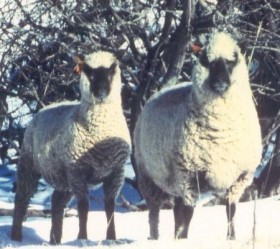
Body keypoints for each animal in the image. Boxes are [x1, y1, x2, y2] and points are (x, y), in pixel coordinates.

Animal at [11, 51, 132, 245]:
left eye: (112, 69)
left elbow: (110, 207)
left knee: (57, 201)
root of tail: (49, 106)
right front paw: (82, 238)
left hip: (63, 177)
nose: (101, 93)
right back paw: (16, 237)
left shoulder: (116, 173)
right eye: (88, 71)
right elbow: (83, 207)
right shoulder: (78, 172)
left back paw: (55, 239)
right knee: (22, 197)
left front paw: (111, 238)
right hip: (29, 164)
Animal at [133, 32, 262, 240]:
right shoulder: (189, 176)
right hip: (149, 177)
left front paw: (231, 238)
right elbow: (188, 214)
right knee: (155, 213)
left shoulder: (238, 178)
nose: (220, 83)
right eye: (208, 61)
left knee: (176, 211)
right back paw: (155, 238)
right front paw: (185, 240)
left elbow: (230, 211)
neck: (221, 128)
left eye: (231, 60)